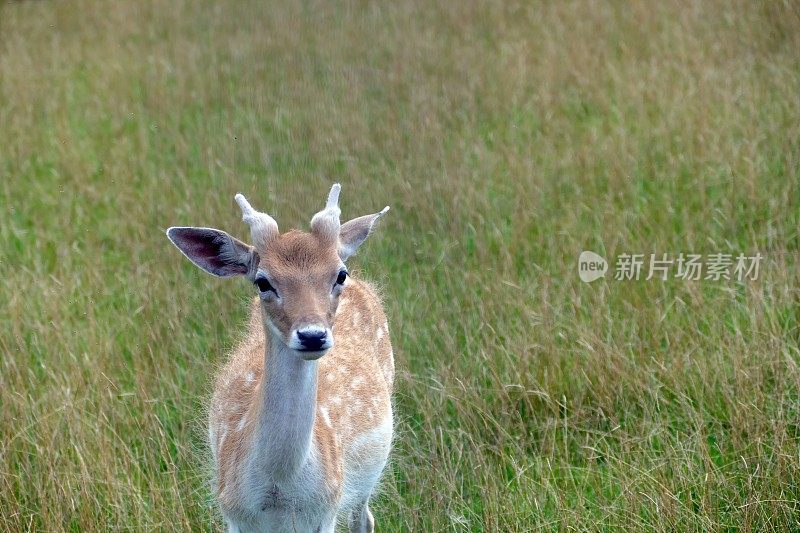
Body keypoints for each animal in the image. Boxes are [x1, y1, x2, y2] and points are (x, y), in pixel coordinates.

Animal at [166, 184, 396, 532]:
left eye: (339, 275)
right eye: (263, 281)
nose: (312, 335)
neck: (280, 489)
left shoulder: (326, 509)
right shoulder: (232, 510)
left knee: (364, 519)